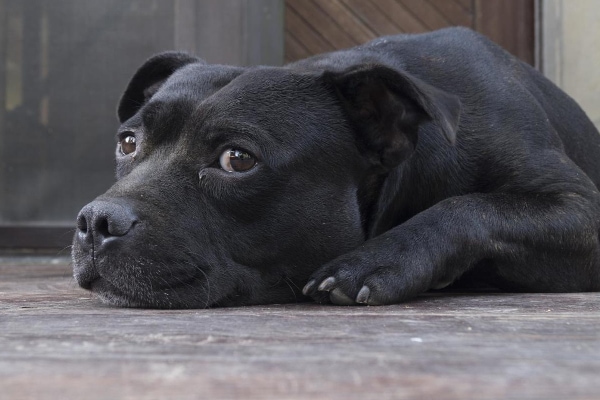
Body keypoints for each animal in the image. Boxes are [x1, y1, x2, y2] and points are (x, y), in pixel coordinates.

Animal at [71, 28, 600, 308]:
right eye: (128, 142)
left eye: (237, 159)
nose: (96, 221)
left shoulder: (580, 207)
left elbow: (469, 207)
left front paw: (377, 261)